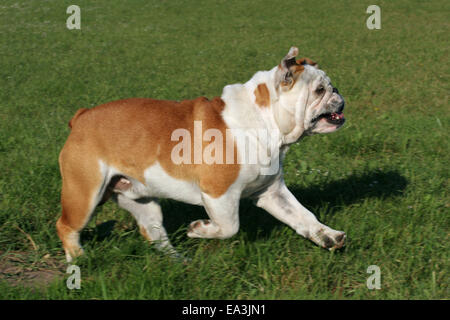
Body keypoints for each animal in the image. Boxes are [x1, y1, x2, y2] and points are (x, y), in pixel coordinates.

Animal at [56, 47, 344, 262]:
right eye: (319, 90)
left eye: (330, 86)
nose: (338, 93)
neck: (264, 119)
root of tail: (81, 117)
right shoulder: (220, 194)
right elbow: (229, 227)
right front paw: (199, 230)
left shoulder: (273, 192)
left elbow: (303, 216)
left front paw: (327, 235)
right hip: (85, 193)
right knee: (66, 226)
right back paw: (80, 260)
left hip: (142, 200)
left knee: (154, 233)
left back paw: (178, 262)